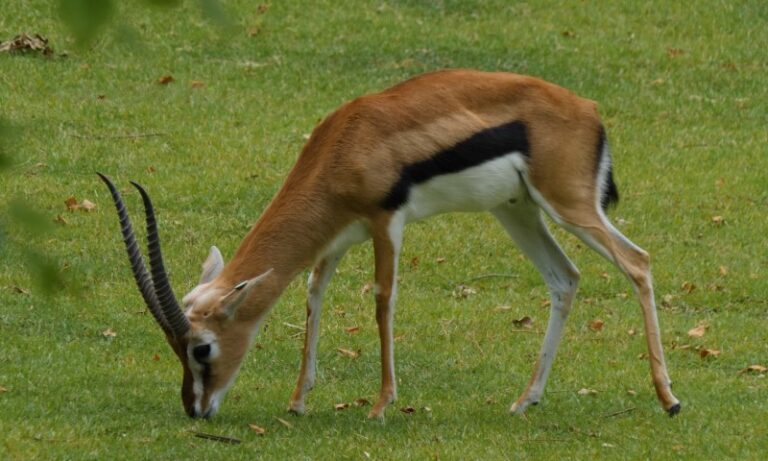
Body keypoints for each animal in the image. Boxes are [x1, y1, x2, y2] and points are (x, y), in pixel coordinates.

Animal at [99, 69, 680, 420]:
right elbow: (313, 295)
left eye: (202, 348)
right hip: (516, 211)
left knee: (639, 262)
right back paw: (525, 400)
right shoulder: (336, 238)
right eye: (175, 349)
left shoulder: (386, 222)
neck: (345, 144)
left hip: (569, 205)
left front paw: (381, 405)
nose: (195, 409)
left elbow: (382, 301)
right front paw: (298, 400)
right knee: (566, 279)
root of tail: (589, 109)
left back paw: (669, 399)